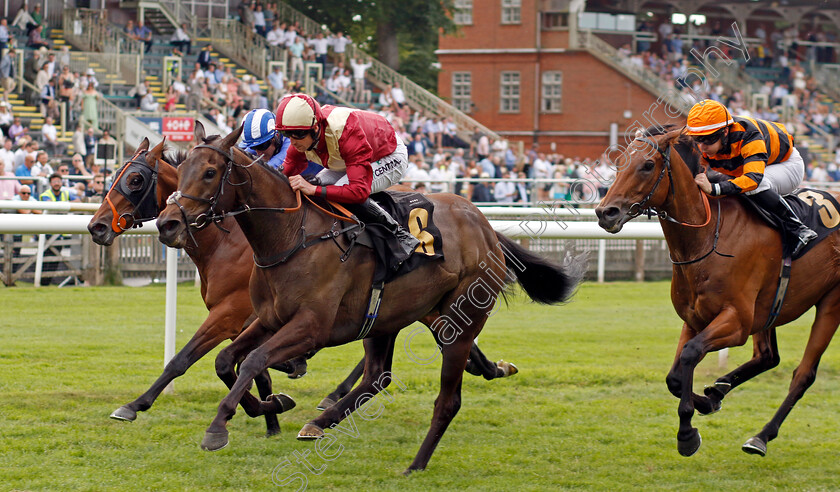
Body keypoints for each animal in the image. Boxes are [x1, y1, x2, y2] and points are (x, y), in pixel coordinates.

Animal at [88, 134, 524, 430]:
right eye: (117, 175)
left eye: (135, 180)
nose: (96, 226)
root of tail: (480, 221)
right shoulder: (255, 319)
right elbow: (243, 365)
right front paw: (272, 408)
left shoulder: (230, 315)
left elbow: (185, 359)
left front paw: (136, 404)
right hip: (415, 305)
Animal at [154, 124, 580, 472]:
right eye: (183, 169)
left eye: (210, 172)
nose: (167, 223)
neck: (292, 235)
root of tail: (485, 225)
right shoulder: (267, 318)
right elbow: (227, 361)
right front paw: (272, 405)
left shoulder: (311, 327)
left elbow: (254, 361)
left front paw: (217, 427)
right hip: (387, 316)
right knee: (377, 376)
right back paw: (319, 422)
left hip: (458, 320)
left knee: (444, 397)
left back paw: (414, 463)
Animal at [592, 126, 840, 458]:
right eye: (618, 164)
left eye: (647, 165)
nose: (605, 212)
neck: (707, 238)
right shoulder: (695, 319)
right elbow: (674, 378)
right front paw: (708, 400)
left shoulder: (736, 321)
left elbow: (690, 354)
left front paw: (687, 433)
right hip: (768, 309)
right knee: (768, 356)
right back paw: (720, 388)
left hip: (830, 303)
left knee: (803, 375)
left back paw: (761, 436)